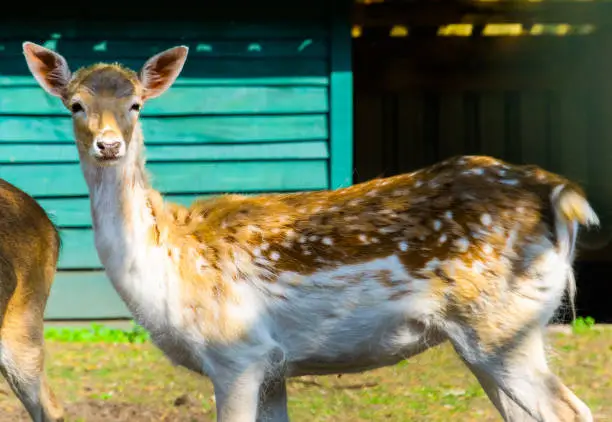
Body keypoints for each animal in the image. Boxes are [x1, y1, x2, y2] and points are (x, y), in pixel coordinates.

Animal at [22, 40, 596, 422]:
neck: (166, 263)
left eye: (136, 104)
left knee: (570, 411)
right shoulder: (275, 368)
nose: (109, 144)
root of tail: (562, 197)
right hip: (499, 333)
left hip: (500, 324)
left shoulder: (236, 350)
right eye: (75, 104)